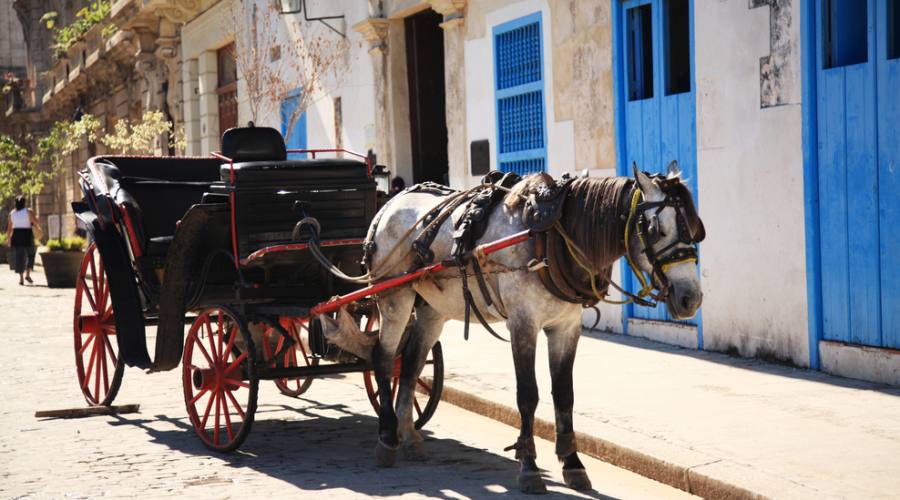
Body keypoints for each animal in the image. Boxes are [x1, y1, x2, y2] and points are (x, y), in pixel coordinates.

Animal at [358, 163, 704, 492]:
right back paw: (387, 436)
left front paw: (573, 464)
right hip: (394, 299)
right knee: (384, 360)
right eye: (657, 229)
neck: (553, 236)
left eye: (694, 229)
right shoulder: (523, 324)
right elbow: (528, 395)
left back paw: (409, 437)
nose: (691, 298)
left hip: (433, 309)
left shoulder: (566, 327)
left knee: (410, 364)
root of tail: (390, 204)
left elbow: (564, 394)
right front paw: (529, 467)